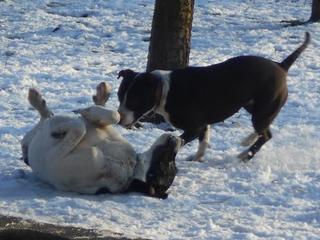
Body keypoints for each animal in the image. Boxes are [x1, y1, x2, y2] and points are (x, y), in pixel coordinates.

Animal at [21, 82, 181, 199]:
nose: (176, 138)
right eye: (171, 163)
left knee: (46, 121)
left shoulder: (55, 159)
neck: (128, 165)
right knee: (46, 117)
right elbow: (114, 115)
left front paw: (63, 127)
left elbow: (79, 128)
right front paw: (87, 112)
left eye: (166, 165)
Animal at [117, 32, 310, 161]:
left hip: (263, 109)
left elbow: (180, 140)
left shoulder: (194, 127)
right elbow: (203, 142)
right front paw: (197, 158)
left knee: (266, 134)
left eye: (134, 100)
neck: (164, 90)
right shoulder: (203, 125)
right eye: (119, 97)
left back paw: (244, 154)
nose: (119, 119)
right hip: (252, 106)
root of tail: (281, 66)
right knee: (264, 130)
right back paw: (248, 141)